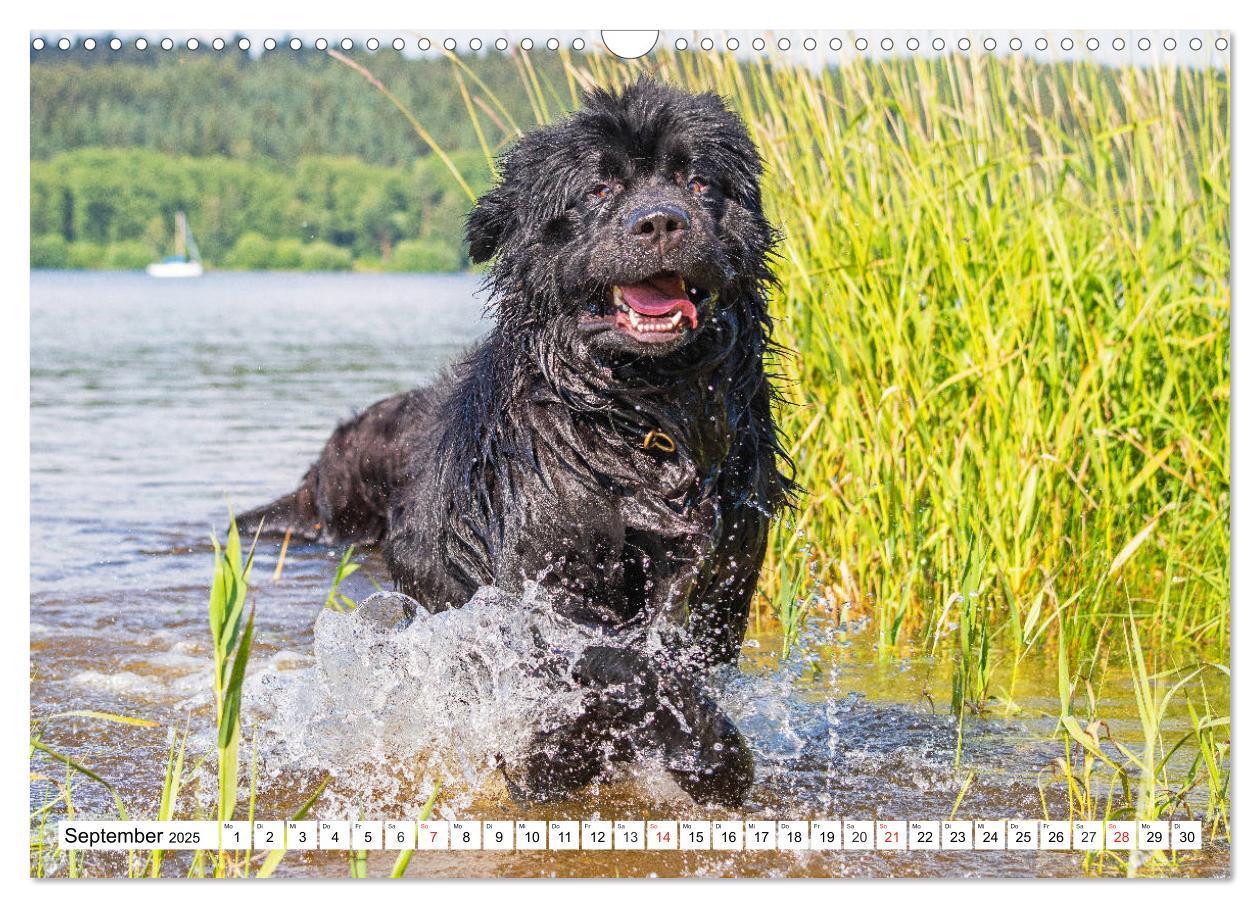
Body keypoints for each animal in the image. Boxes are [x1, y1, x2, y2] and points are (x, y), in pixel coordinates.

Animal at [236, 81, 791, 805]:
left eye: (699, 183)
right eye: (598, 189)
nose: (662, 222)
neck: (641, 421)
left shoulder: (725, 572)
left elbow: (670, 660)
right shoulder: (545, 575)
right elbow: (622, 665)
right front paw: (565, 755)